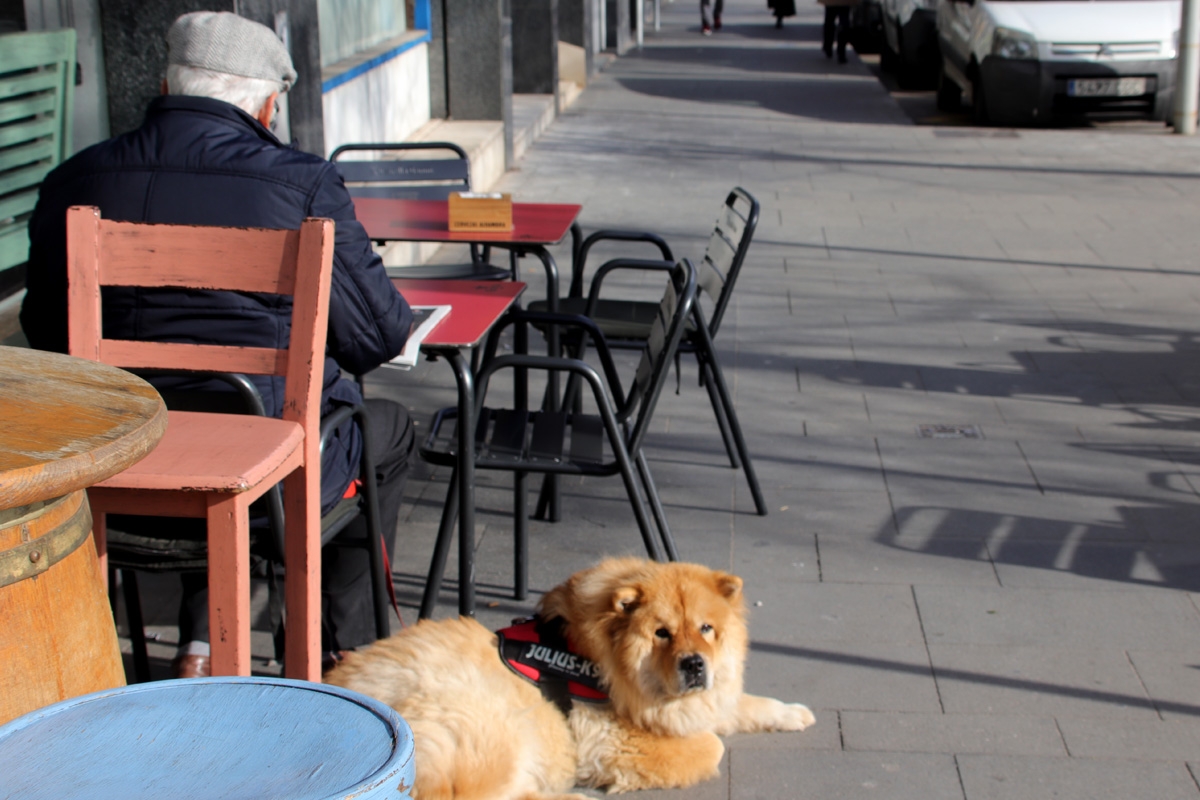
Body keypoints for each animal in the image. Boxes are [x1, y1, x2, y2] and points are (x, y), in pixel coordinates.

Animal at [326, 556, 816, 800]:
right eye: (661, 633)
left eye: (707, 629)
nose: (695, 664)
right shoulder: (616, 738)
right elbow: (712, 745)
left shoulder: (700, 701)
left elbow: (745, 704)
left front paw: (794, 713)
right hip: (486, 726)